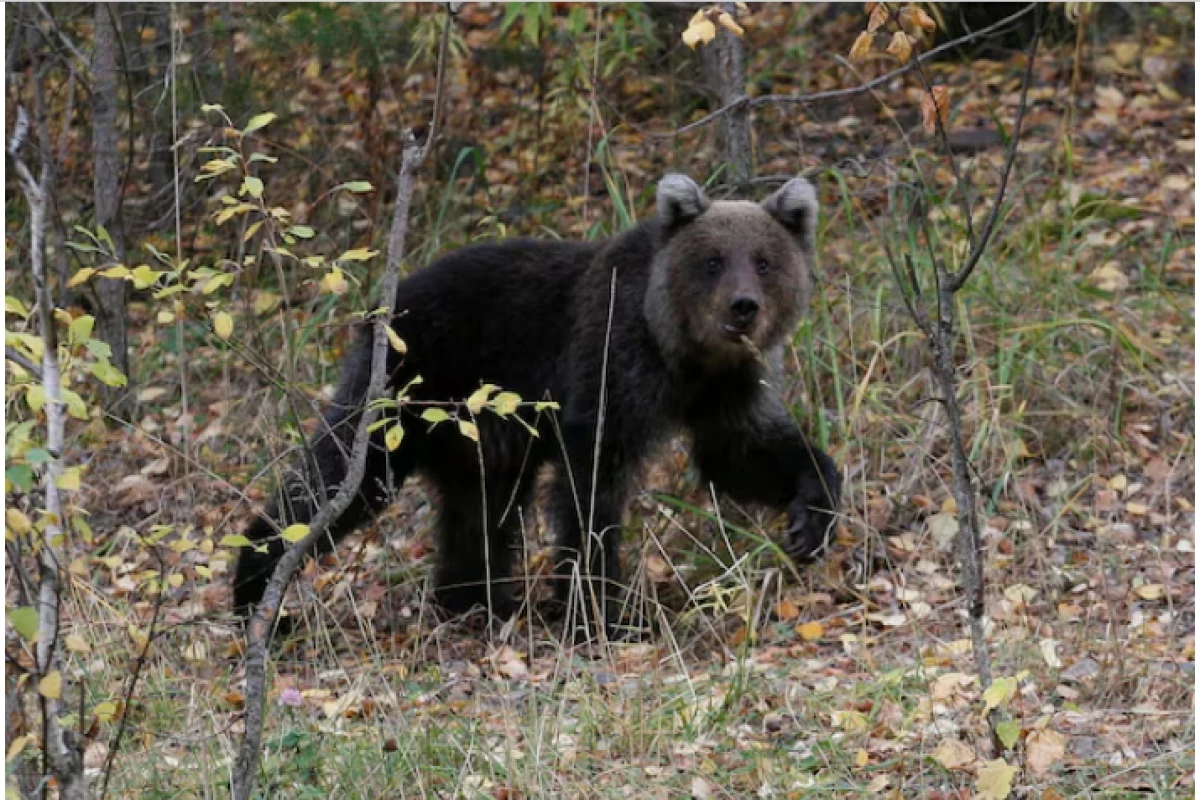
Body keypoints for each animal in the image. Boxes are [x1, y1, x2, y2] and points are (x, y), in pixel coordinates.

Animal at [233, 173, 840, 633]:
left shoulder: (726, 389)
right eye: (712, 260)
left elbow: (741, 453)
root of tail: (385, 304)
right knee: (345, 476)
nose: (743, 308)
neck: (683, 353)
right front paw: (600, 610)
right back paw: (258, 589)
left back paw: (475, 599)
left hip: (478, 430)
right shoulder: (612, 361)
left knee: (481, 507)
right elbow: (593, 483)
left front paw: (811, 517)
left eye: (764, 261)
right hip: (408, 388)